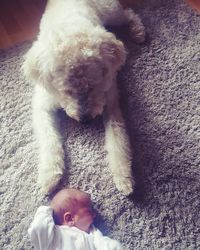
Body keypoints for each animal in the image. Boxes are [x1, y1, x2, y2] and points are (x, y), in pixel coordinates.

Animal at [23, 0, 145, 195]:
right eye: (66, 91)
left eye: (93, 85)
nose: (86, 119)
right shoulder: (42, 107)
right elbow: (49, 140)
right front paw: (49, 175)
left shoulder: (111, 103)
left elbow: (118, 140)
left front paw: (123, 177)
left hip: (111, 13)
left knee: (128, 13)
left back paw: (138, 31)